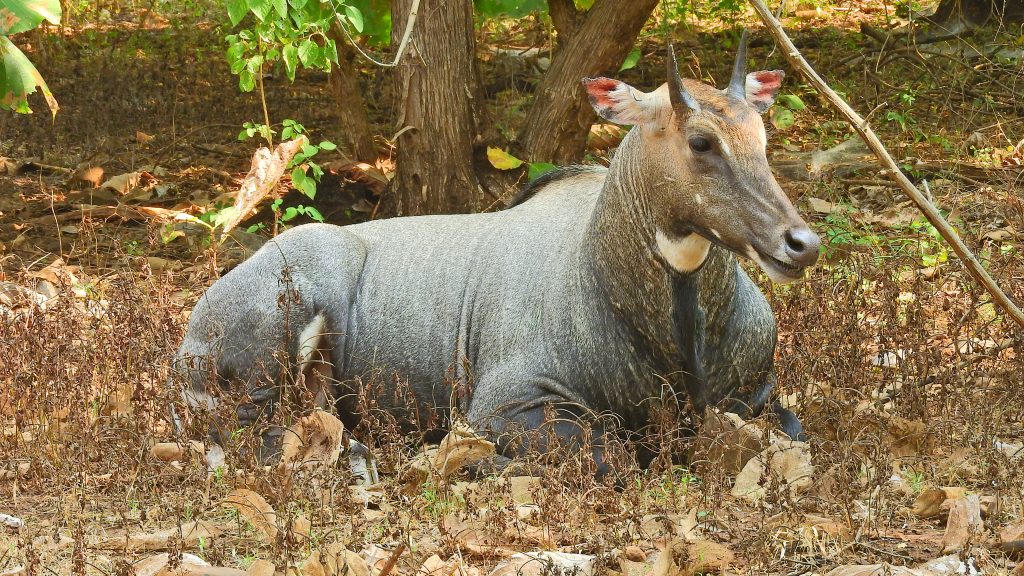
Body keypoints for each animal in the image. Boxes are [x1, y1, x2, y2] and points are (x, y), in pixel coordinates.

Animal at [172, 36, 819, 475]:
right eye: (701, 141)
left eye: (762, 137)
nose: (801, 244)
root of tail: (188, 343)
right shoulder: (507, 406)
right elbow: (617, 461)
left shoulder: (757, 394)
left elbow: (797, 433)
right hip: (266, 361)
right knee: (250, 439)